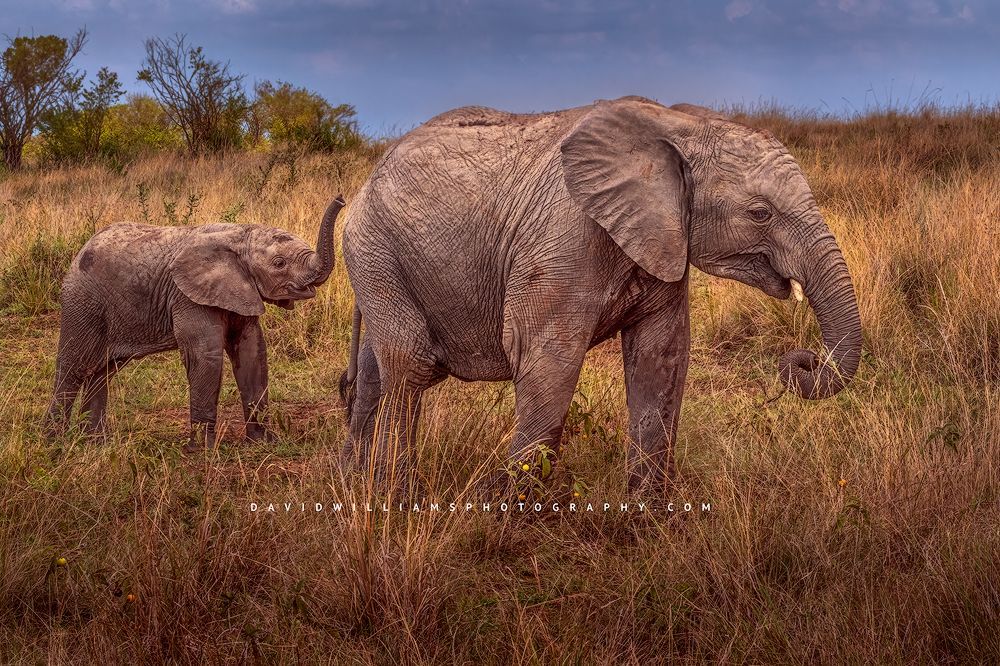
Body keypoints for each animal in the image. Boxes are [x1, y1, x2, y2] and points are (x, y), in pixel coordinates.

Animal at [45, 196, 346, 450]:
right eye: (279, 263)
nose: (341, 198)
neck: (240, 234)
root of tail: (81, 251)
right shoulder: (188, 297)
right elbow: (206, 356)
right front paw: (203, 450)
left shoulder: (239, 291)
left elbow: (252, 352)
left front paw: (263, 442)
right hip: (82, 303)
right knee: (73, 367)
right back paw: (54, 442)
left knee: (103, 371)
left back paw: (95, 444)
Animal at [338, 96, 862, 492]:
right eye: (760, 213)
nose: (802, 360)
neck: (679, 125)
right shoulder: (562, 242)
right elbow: (549, 360)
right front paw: (501, 509)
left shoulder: (662, 240)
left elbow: (661, 358)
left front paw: (648, 514)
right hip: (373, 247)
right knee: (411, 365)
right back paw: (397, 494)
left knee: (375, 373)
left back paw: (357, 482)